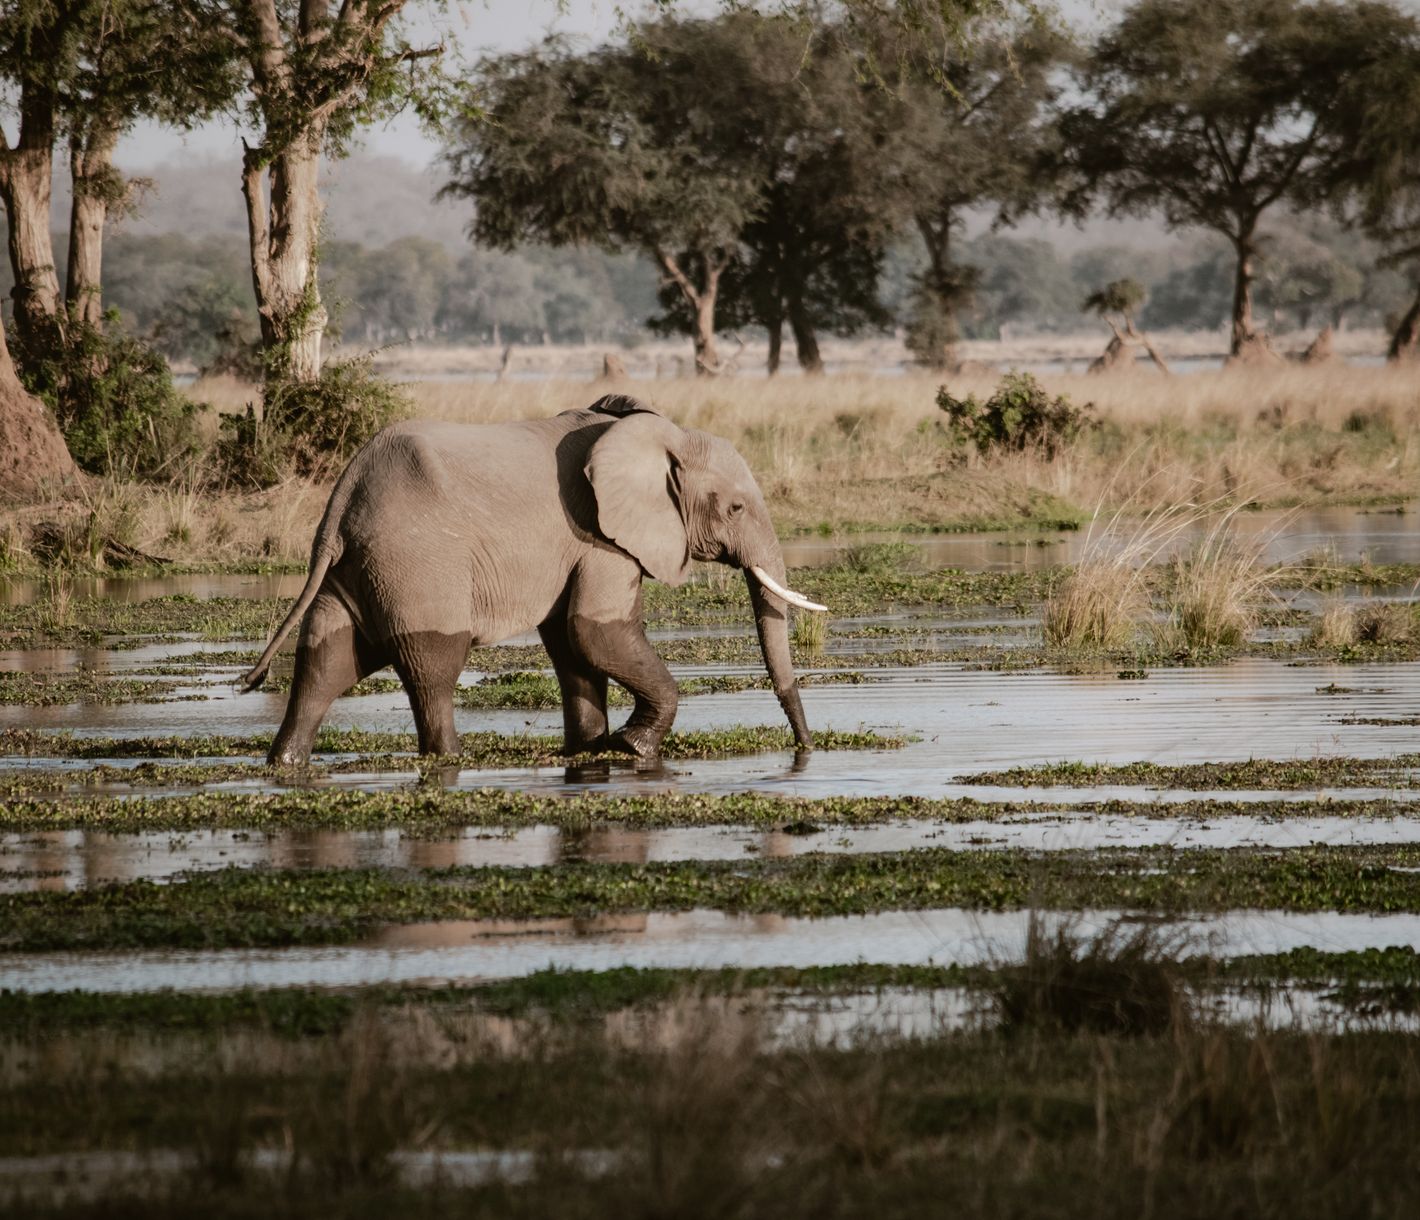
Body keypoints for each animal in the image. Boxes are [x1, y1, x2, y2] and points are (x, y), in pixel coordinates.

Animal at [240, 394, 827, 765]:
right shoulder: (600, 537)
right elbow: (595, 632)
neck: (658, 433)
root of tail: (344, 494)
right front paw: (632, 747)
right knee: (432, 666)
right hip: (414, 564)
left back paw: (284, 762)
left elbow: (571, 644)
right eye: (734, 508)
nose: (803, 748)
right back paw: (450, 759)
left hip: (359, 565)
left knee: (325, 661)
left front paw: (591, 750)